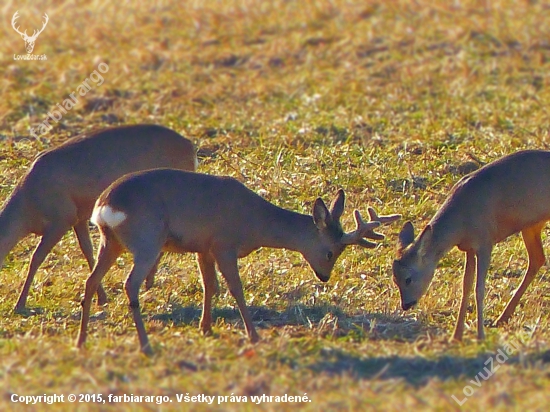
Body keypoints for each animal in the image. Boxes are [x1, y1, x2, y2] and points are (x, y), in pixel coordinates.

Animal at [2, 124, 198, 312]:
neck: (27, 208)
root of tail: (190, 147)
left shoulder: (62, 219)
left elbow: (36, 258)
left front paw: (20, 304)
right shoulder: (79, 218)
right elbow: (88, 251)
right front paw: (101, 298)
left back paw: (149, 282)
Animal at [75, 168, 402, 354]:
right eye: (331, 252)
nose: (324, 276)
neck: (255, 222)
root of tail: (104, 206)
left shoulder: (204, 247)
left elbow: (209, 286)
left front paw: (206, 327)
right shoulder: (224, 244)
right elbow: (235, 289)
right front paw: (253, 335)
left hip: (110, 241)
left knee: (90, 281)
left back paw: (81, 341)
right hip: (147, 239)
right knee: (130, 285)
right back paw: (145, 345)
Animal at [394, 150, 550, 342]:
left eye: (408, 279)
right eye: (395, 279)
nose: (406, 304)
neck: (460, 222)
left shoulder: (485, 243)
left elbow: (479, 289)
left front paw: (480, 335)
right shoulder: (469, 247)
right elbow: (466, 287)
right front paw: (456, 335)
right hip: (531, 226)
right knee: (537, 259)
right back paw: (502, 318)